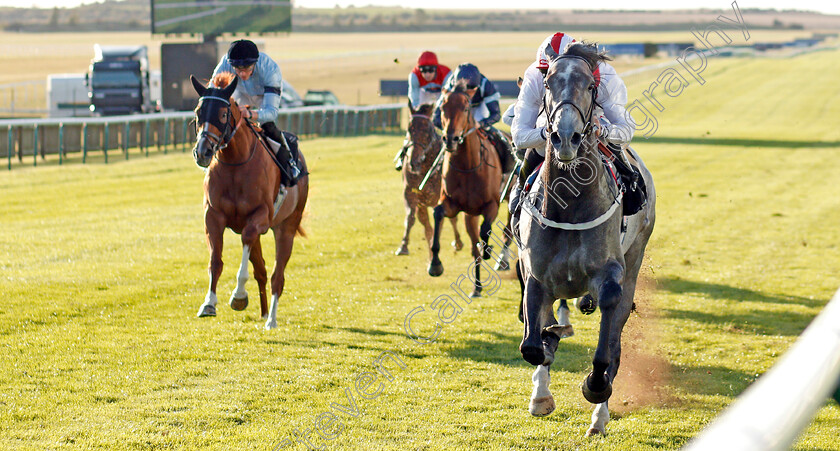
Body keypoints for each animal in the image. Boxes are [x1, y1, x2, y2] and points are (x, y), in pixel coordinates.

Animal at [189, 72, 308, 330]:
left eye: (223, 114)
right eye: (198, 112)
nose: (203, 152)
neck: (236, 163)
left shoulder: (259, 218)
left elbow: (247, 250)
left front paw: (239, 296)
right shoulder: (213, 216)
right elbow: (216, 261)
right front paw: (209, 303)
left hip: (286, 227)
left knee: (277, 276)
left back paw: (271, 319)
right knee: (261, 269)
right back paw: (263, 313)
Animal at [396, 103, 462, 258]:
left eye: (427, 131)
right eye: (409, 129)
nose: (414, 161)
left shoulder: (441, 197)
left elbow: (446, 220)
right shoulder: (412, 195)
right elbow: (413, 219)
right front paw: (403, 246)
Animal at [430, 84, 502, 300]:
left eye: (465, 108)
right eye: (442, 108)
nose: (450, 139)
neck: (468, 166)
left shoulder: (492, 205)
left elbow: (485, 230)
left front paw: (488, 249)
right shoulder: (452, 204)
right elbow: (438, 213)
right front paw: (435, 264)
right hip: (469, 215)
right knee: (473, 246)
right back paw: (476, 287)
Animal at [520, 43, 656, 438]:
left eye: (591, 86)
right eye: (548, 82)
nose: (566, 137)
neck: (569, 206)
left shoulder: (609, 274)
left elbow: (606, 348)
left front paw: (595, 387)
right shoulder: (536, 274)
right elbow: (533, 345)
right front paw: (541, 392)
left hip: (635, 260)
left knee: (615, 343)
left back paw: (599, 418)